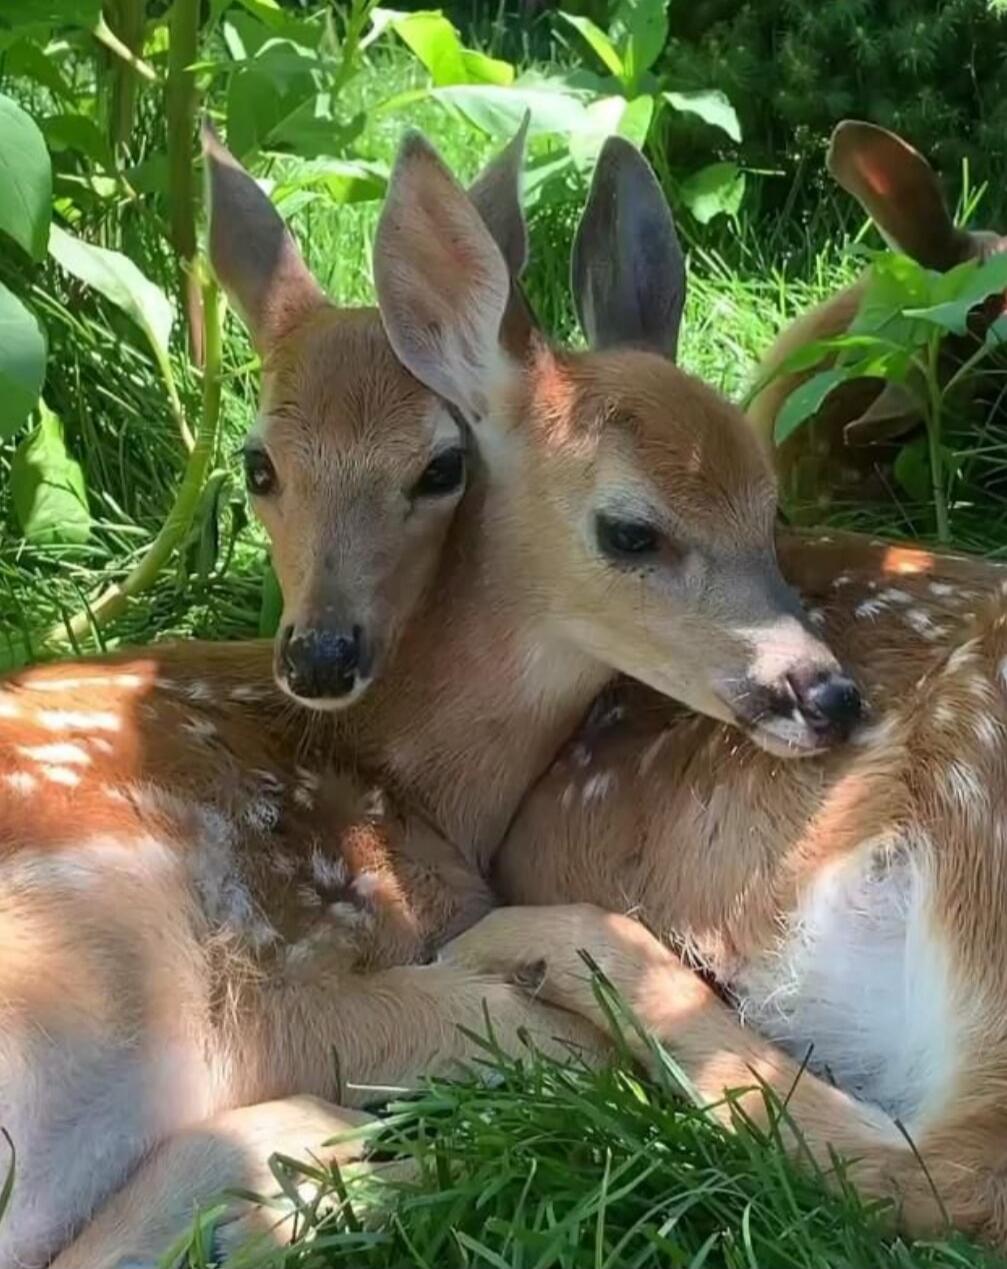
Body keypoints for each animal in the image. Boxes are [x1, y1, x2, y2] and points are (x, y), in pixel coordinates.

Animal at [0, 126, 860, 1267]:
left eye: (773, 509)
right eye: (631, 531)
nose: (826, 692)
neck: (402, 779)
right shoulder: (284, 984)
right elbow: (567, 1047)